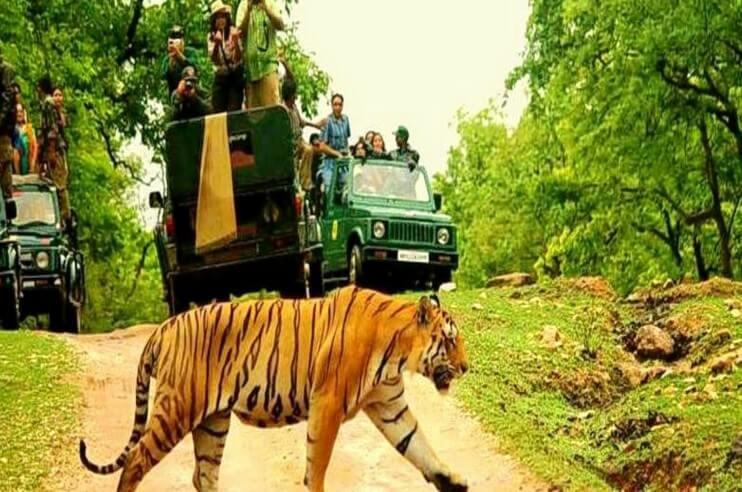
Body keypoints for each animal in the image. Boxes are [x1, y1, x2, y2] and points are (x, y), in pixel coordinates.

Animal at [80, 284, 470, 492]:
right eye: (451, 341)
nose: (467, 367)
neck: (398, 351)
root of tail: (163, 328)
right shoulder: (327, 402)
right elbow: (317, 464)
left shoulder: (389, 405)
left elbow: (419, 446)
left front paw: (453, 482)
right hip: (177, 408)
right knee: (135, 461)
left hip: (213, 422)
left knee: (202, 474)